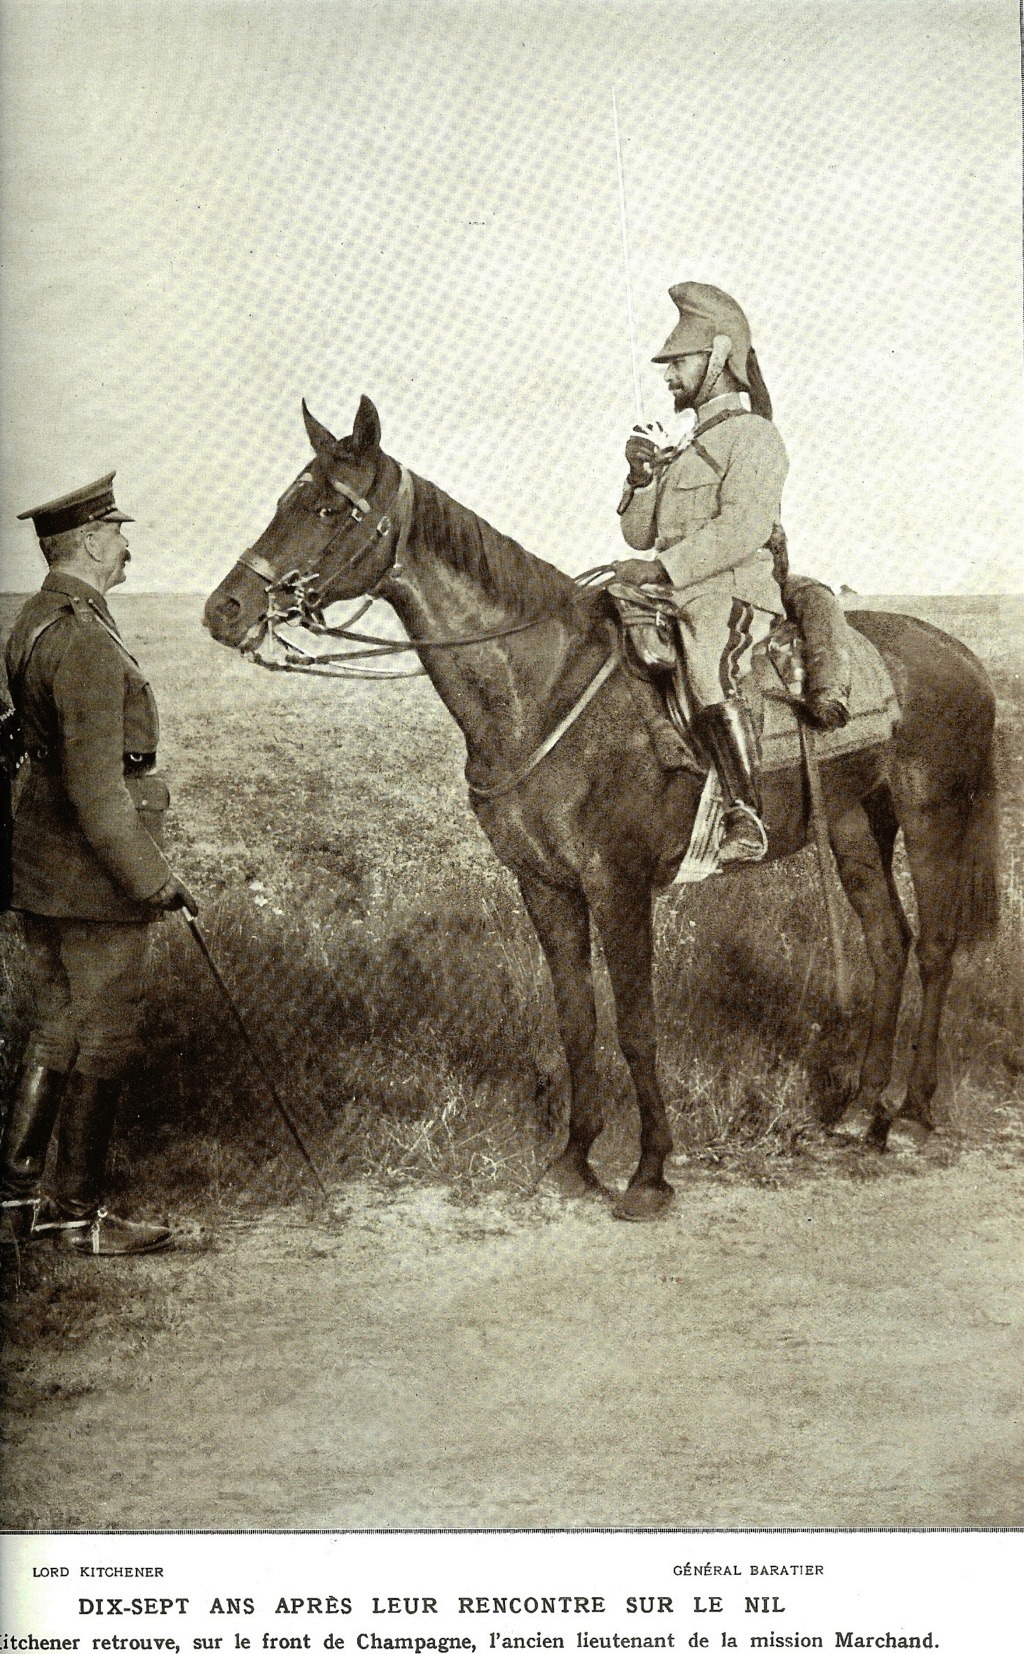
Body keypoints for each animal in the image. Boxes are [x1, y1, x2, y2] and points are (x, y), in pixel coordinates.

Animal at [204, 400, 999, 1223]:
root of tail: (959, 655)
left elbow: (636, 1027)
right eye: (284, 501)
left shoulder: (618, 886)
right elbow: (577, 1021)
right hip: (855, 824)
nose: (225, 609)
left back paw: (913, 1113)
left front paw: (649, 1172)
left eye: (330, 508)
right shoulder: (546, 887)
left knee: (937, 947)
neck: (544, 688)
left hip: (934, 815)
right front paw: (573, 1159)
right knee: (888, 943)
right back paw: (862, 1112)